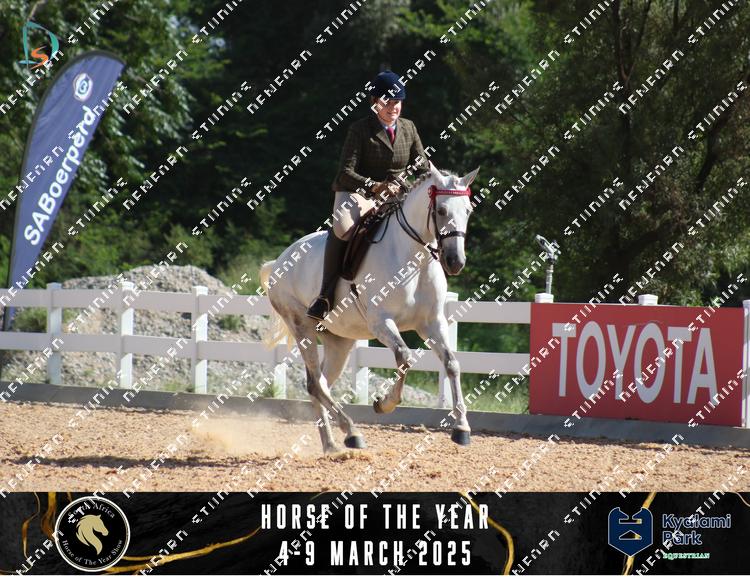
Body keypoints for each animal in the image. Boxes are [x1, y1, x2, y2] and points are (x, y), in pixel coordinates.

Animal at [260, 161, 479, 454]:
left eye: (468, 211)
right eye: (441, 210)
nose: (456, 262)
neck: (414, 260)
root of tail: (279, 260)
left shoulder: (432, 323)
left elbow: (452, 363)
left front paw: (462, 428)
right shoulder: (381, 322)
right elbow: (405, 358)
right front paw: (384, 403)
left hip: (339, 342)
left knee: (320, 385)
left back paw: (332, 444)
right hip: (302, 327)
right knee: (315, 383)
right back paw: (351, 432)